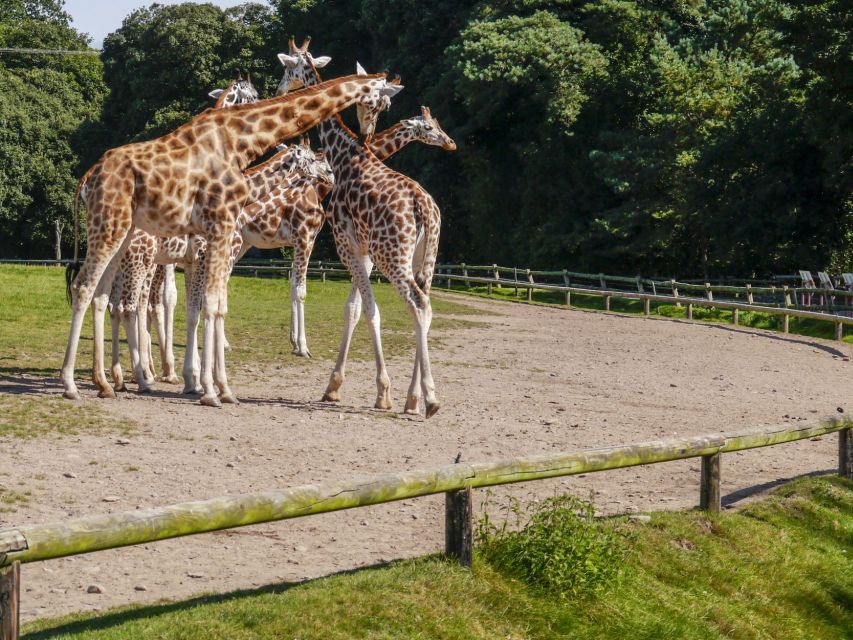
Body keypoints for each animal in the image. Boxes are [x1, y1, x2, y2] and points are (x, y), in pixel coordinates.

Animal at [62, 67, 400, 404]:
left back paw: (109, 381)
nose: (367, 136)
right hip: (117, 235)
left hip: (123, 238)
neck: (237, 142)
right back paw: (79, 383)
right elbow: (209, 305)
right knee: (91, 290)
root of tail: (87, 179)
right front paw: (209, 388)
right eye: (382, 102)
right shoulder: (219, 233)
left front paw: (211, 385)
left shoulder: (209, 246)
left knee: (106, 297)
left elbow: (209, 307)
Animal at [276, 41, 442, 420]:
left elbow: (367, 310)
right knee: (424, 308)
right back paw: (416, 397)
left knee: (418, 304)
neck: (343, 153)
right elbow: (355, 310)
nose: (281, 89)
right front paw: (337, 387)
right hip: (422, 261)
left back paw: (429, 398)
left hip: (394, 258)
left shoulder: (346, 244)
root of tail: (424, 208)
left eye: (289, 68)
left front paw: (379, 392)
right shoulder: (361, 249)